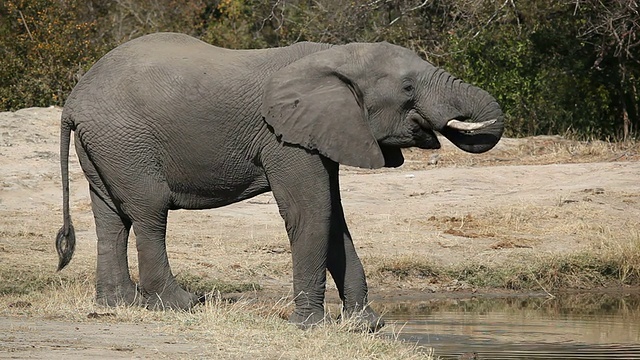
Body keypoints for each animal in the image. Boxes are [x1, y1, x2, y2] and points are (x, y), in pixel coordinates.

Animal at [55, 32, 502, 330]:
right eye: (408, 87)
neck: (334, 56)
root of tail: (73, 101)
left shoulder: (322, 132)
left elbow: (333, 219)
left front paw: (366, 326)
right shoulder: (283, 139)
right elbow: (311, 213)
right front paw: (312, 328)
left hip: (105, 146)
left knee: (110, 217)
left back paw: (119, 304)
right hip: (126, 142)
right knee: (149, 213)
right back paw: (180, 304)